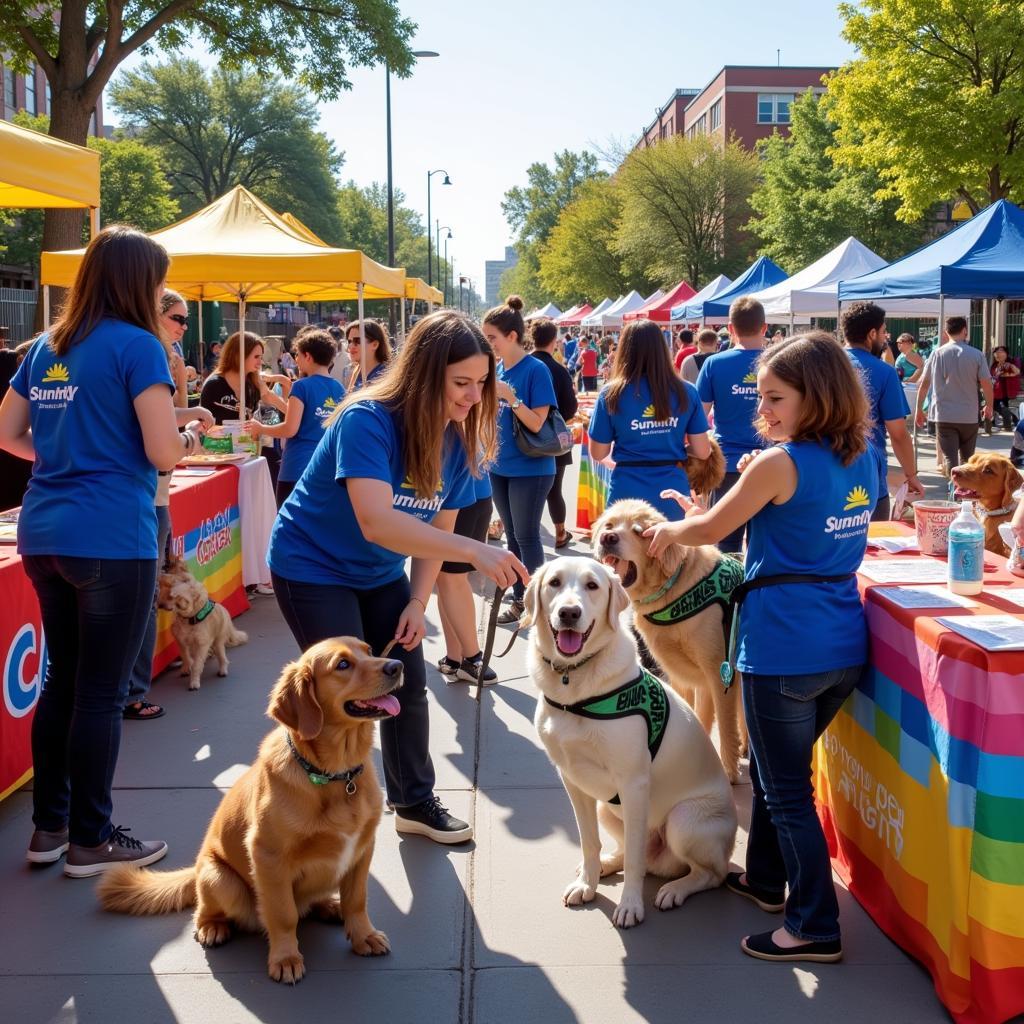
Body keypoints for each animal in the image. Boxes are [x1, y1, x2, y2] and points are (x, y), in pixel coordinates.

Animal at [96, 638, 399, 983]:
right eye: (343, 665)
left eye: (370, 650)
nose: (397, 665)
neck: (336, 775)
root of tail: (196, 869)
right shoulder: (268, 856)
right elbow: (283, 914)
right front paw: (285, 957)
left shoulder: (361, 848)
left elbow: (357, 900)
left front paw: (363, 936)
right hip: (219, 879)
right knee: (203, 911)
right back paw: (213, 927)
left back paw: (329, 906)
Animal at [528, 557, 737, 933]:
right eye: (554, 583)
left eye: (592, 586)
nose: (569, 612)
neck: (574, 684)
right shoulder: (572, 779)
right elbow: (589, 842)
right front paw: (587, 883)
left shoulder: (634, 784)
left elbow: (636, 863)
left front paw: (629, 906)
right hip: (605, 808)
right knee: (629, 851)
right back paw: (607, 864)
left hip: (683, 820)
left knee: (709, 873)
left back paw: (675, 889)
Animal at [589, 499, 749, 778]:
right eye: (609, 525)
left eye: (639, 531)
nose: (608, 538)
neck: (672, 590)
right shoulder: (683, 676)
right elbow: (696, 718)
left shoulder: (718, 672)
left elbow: (725, 725)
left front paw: (728, 771)